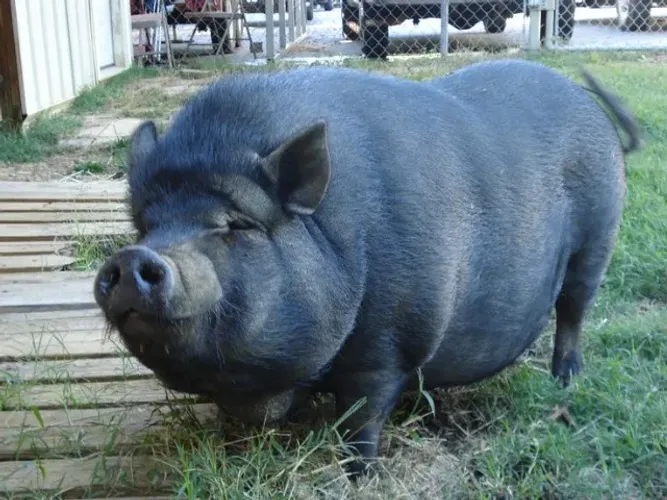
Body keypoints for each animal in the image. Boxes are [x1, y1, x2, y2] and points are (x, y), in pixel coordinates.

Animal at [93, 58, 642, 478]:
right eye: (145, 225)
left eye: (238, 223)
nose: (131, 258)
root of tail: (586, 102)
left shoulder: (387, 346)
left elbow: (362, 416)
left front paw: (359, 474)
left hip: (599, 237)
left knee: (573, 310)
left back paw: (565, 381)